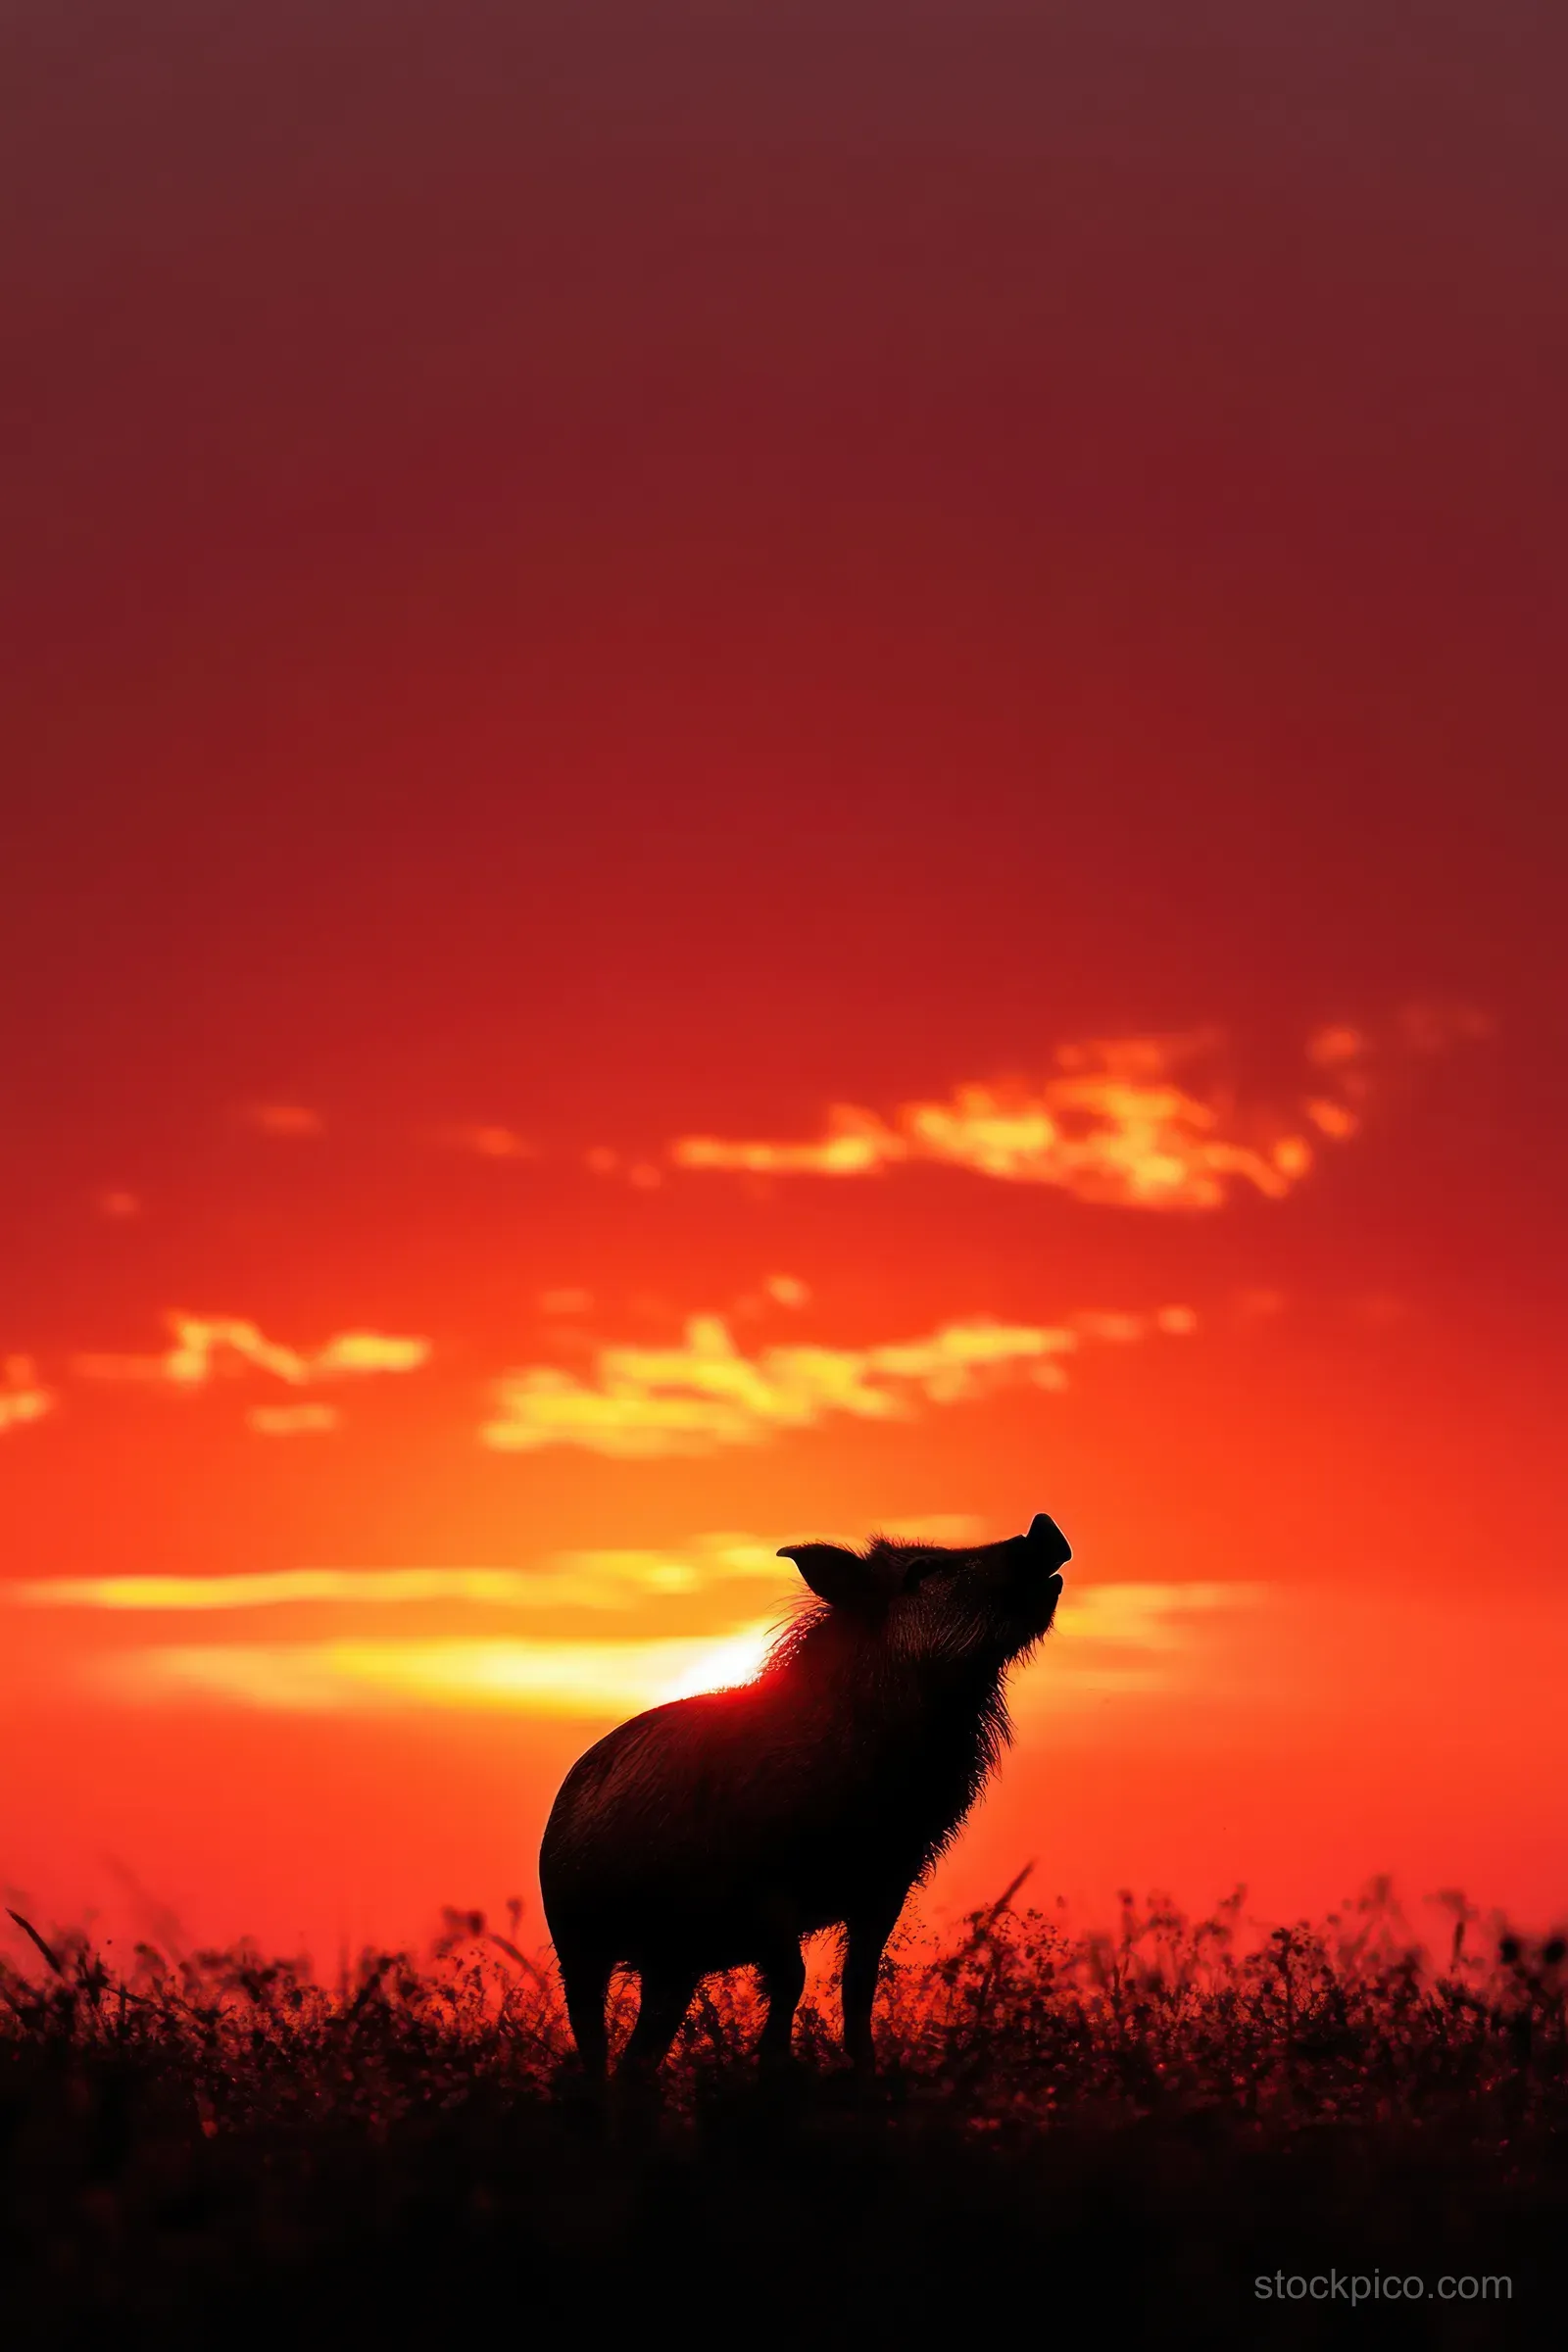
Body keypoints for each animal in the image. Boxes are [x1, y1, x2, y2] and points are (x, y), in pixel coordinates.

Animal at [539, 1511, 1070, 2079]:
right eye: (922, 1570)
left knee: (642, 2050)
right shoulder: (762, 1887)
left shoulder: (888, 1880)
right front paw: (776, 2070)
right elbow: (792, 1977)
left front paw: (864, 2072)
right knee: (593, 2040)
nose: (1041, 1526)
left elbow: (859, 1985)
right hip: (577, 1941)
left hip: (672, 1963)